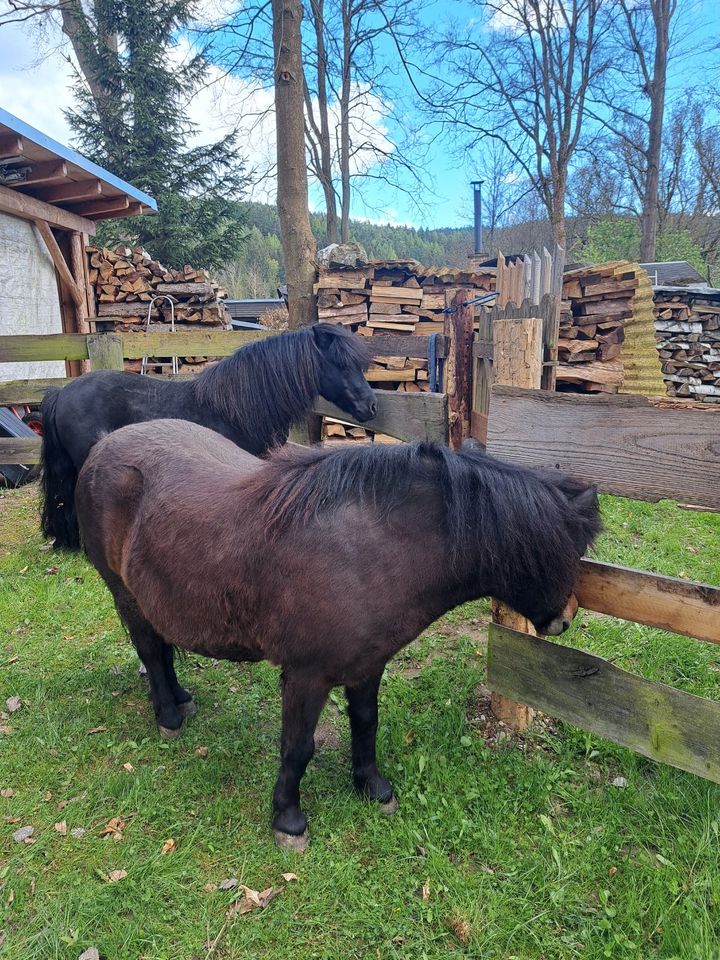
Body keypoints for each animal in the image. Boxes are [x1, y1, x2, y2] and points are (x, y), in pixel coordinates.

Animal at [76, 420, 600, 848]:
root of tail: (103, 443)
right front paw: (288, 819)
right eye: (569, 549)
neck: (369, 548)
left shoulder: (368, 666)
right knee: (149, 648)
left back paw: (180, 698)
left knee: (162, 649)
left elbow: (366, 724)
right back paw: (168, 714)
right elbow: (298, 746)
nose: (567, 617)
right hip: (124, 594)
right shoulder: (306, 676)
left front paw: (372, 786)